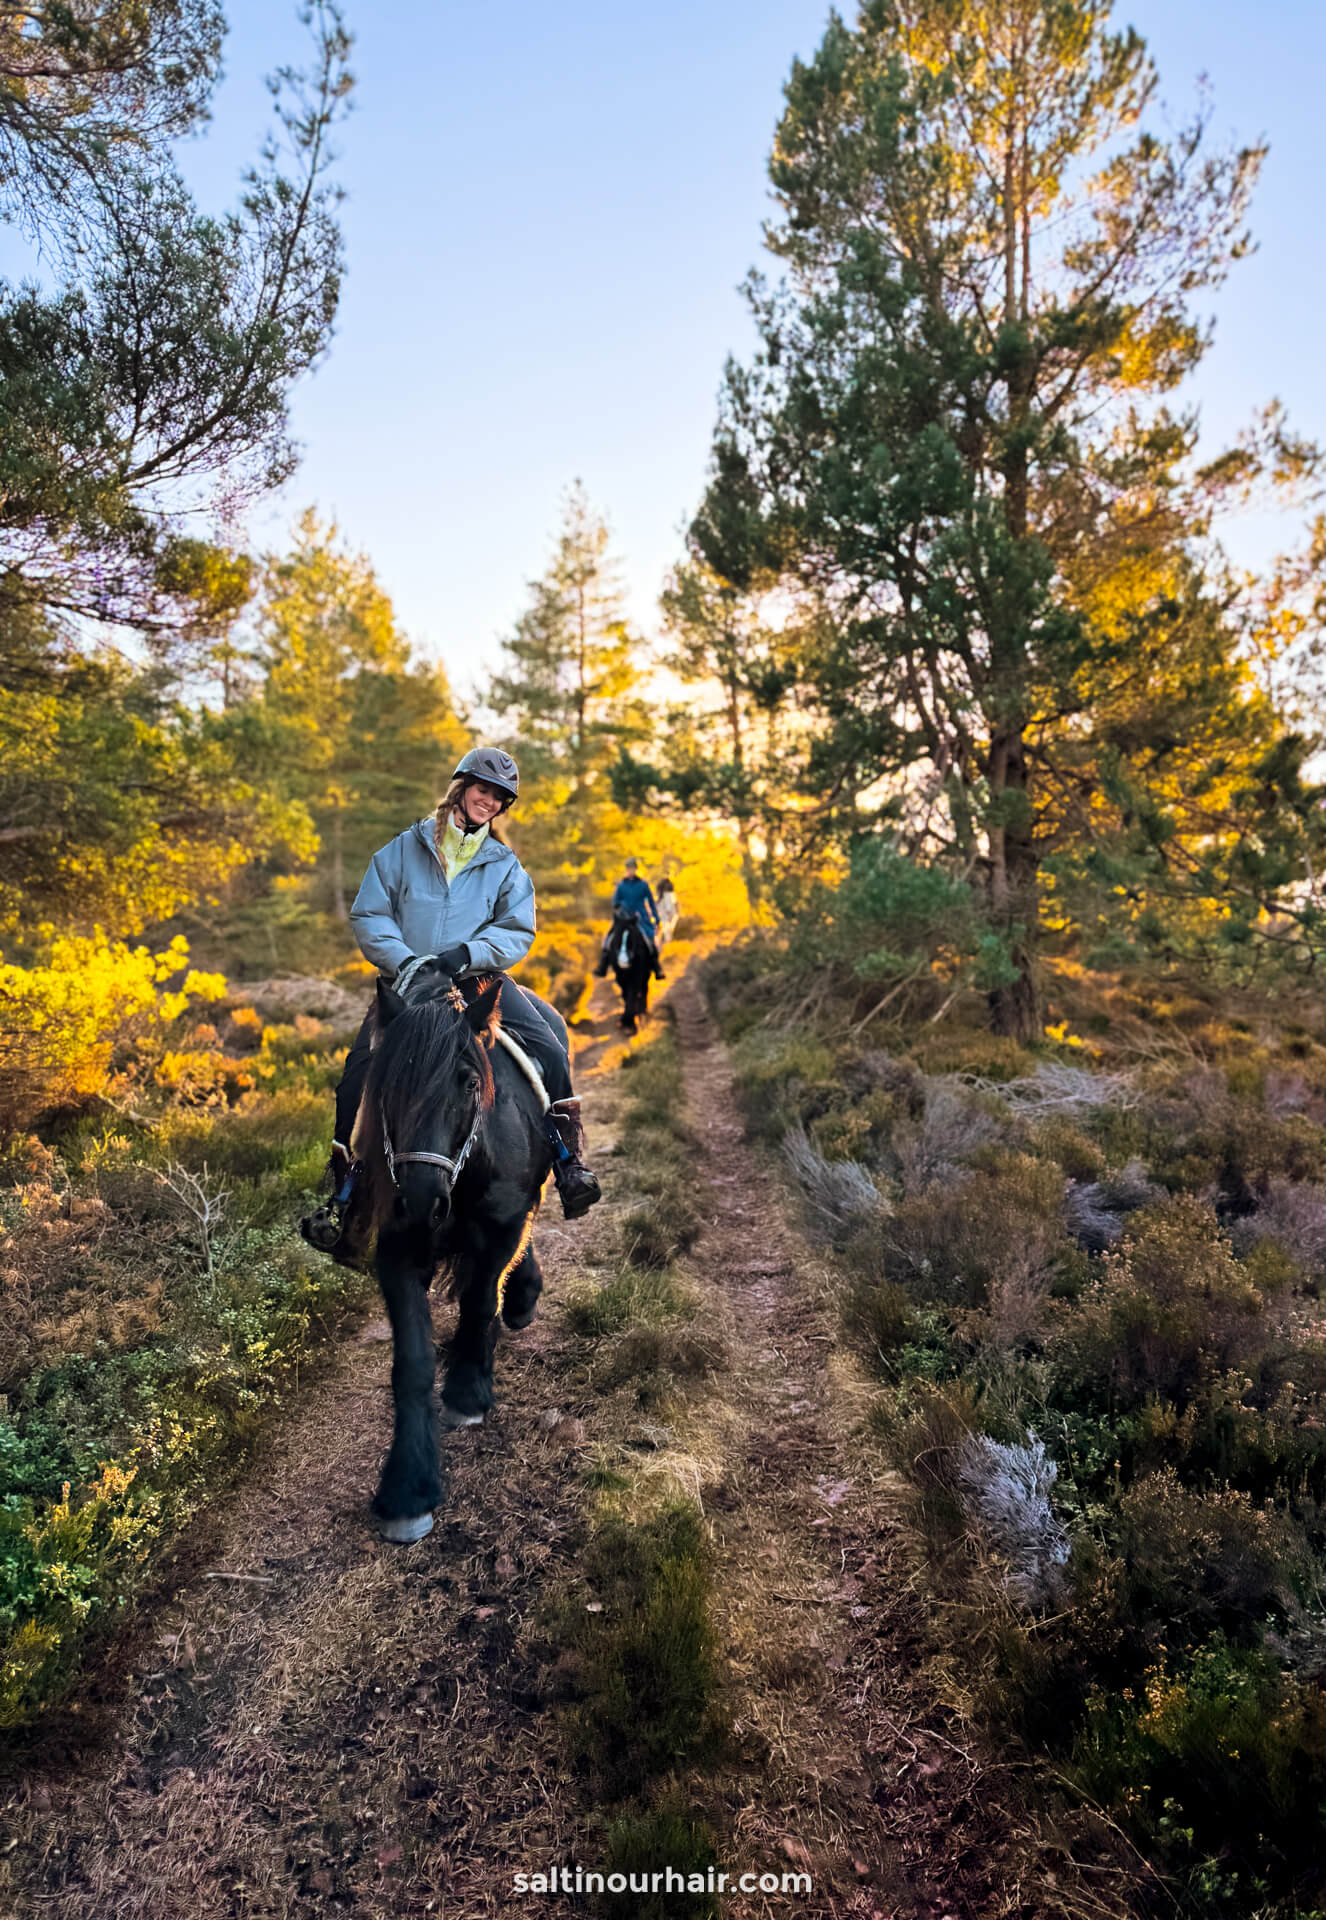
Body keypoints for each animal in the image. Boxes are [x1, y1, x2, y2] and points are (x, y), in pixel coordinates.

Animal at [353, 967, 548, 1536]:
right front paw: (408, 1488)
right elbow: (412, 1362)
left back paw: (523, 1297)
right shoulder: (397, 1251)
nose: (420, 1200)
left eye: (468, 1082)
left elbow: (480, 1302)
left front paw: (467, 1392)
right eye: (387, 1084)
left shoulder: (503, 1229)